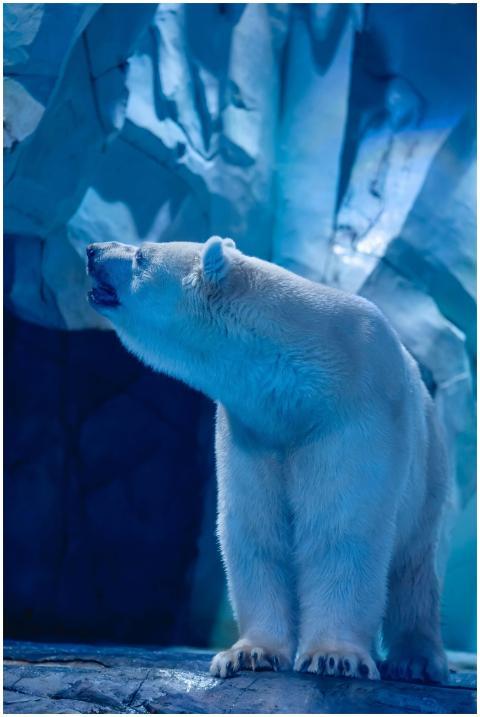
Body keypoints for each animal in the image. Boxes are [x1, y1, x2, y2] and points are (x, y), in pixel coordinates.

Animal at [86, 236, 450, 683]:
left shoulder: (354, 416)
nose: (92, 249)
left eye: (141, 256)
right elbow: (255, 531)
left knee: (414, 566)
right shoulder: (253, 429)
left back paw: (417, 660)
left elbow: (340, 530)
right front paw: (247, 654)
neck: (299, 381)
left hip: (429, 465)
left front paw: (333, 657)